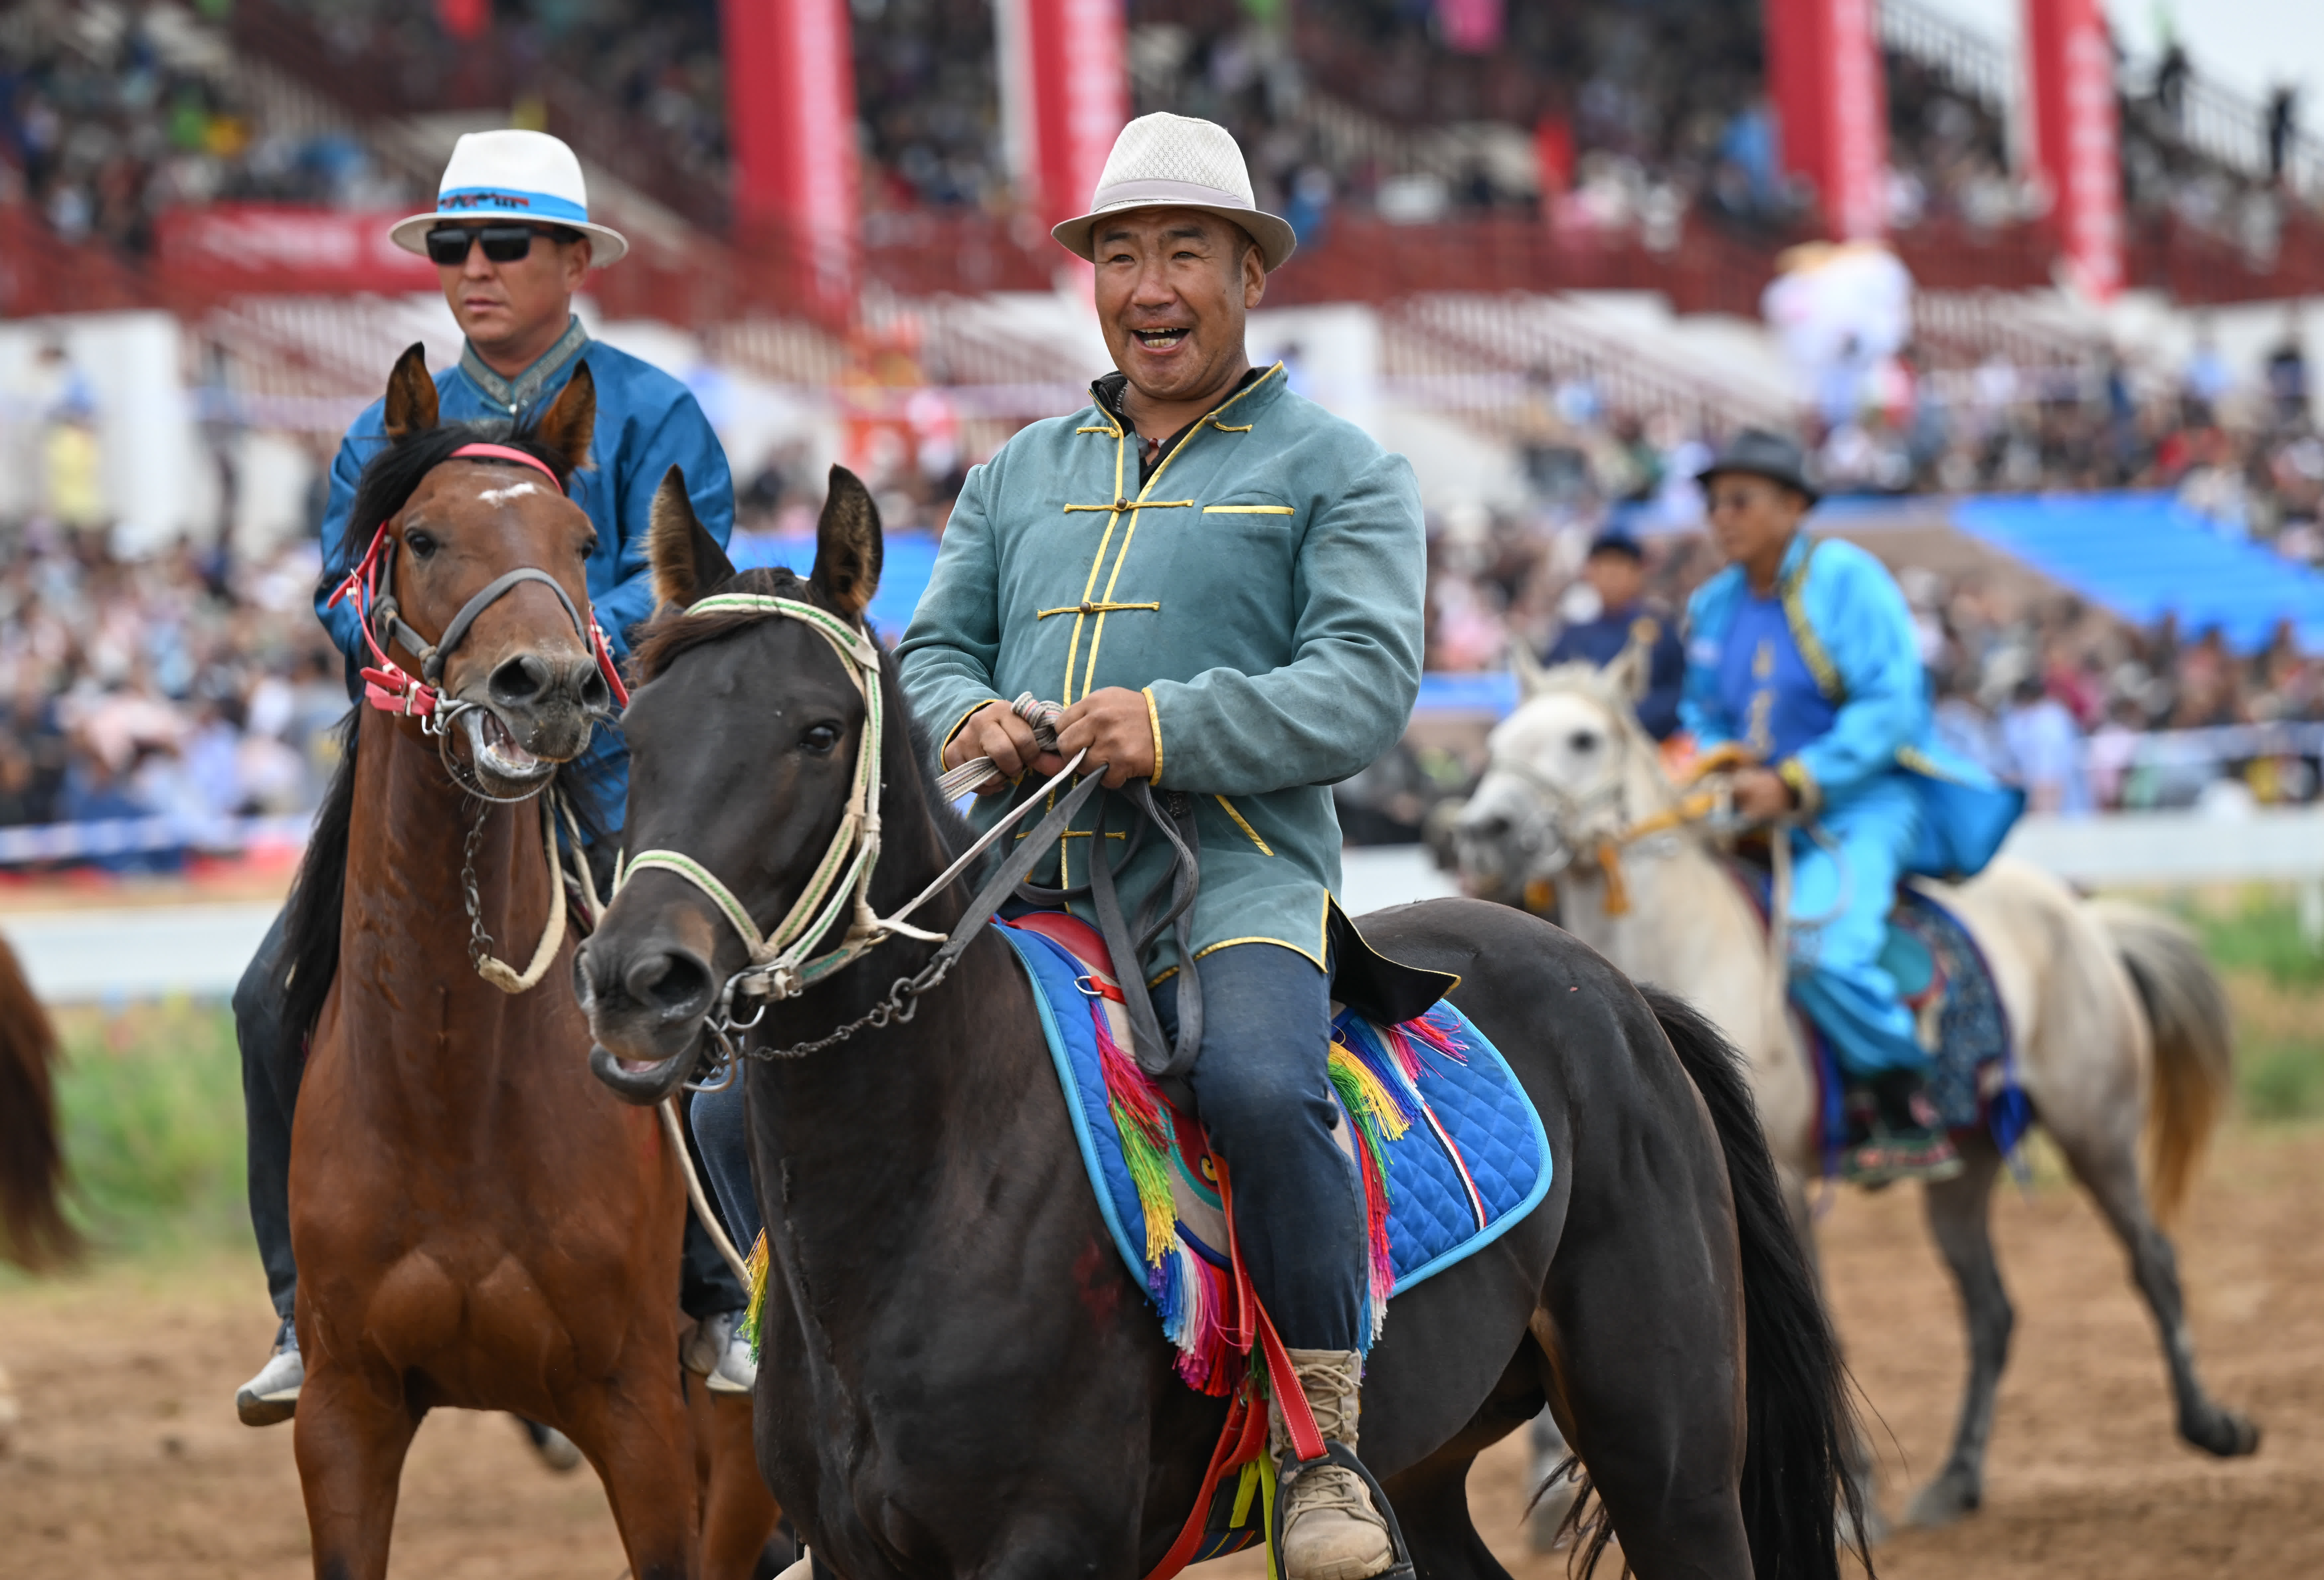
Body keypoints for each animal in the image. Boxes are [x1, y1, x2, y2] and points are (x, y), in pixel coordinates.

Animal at [272, 348, 781, 1580]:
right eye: (420, 535)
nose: (545, 684)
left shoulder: (639, 1419)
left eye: (581, 542)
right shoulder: (344, 1413)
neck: (448, 1090)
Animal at [585, 476, 1868, 1580]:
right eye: (634, 733)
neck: (935, 1181)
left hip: (1670, 1455)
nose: (639, 976)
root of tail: (1615, 995)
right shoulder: (854, 1547)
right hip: (1432, 1456)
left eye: (816, 729)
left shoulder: (1049, 1541)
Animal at [1459, 646, 2259, 1524]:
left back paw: (2211, 1423)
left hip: (2097, 1129)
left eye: (1582, 738)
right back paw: (1954, 1479)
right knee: (1991, 1311)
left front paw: (1849, 1496)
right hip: (1963, 1170)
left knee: (2151, 1260)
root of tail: (2079, 914)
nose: (1483, 830)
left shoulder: (1777, 1177)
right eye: (1495, 740)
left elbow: (1816, 1326)